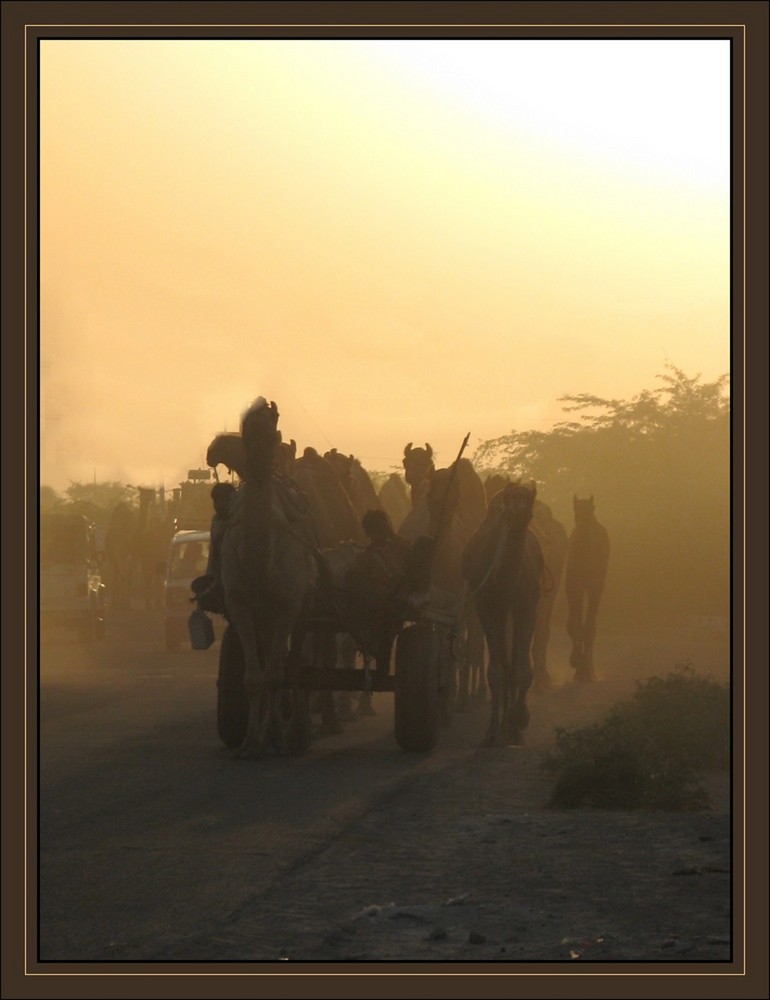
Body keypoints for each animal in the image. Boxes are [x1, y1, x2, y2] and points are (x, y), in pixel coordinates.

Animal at [207, 398, 316, 756]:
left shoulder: (288, 605)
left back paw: (296, 733)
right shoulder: (239, 604)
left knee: (294, 667)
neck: (259, 562)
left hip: (302, 610)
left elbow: (276, 675)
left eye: (272, 420)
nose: (213, 450)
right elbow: (255, 678)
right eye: (246, 424)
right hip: (264, 617)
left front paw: (278, 737)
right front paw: (252, 741)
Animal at [560, 496, 608, 684]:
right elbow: (574, 623)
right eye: (576, 509)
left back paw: (589, 669)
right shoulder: (574, 586)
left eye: (590, 509)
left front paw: (585, 670)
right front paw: (577, 664)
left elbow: (589, 627)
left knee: (590, 624)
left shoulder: (595, 587)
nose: (582, 524)